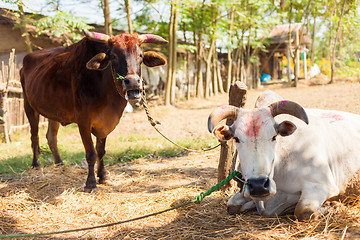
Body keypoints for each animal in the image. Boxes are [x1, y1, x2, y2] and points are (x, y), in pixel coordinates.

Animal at [19, 31, 167, 192]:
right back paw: (36, 164)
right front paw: (90, 183)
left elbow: (100, 151)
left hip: (53, 111)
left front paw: (103, 176)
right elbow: (91, 153)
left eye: (140, 55)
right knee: (34, 136)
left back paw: (60, 164)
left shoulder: (105, 123)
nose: (133, 82)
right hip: (28, 105)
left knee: (51, 137)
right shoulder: (83, 121)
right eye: (113, 56)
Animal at [207, 90, 360, 221]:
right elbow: (231, 206)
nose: (258, 185)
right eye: (236, 139)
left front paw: (333, 206)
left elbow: (304, 211)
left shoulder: (322, 185)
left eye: (274, 136)